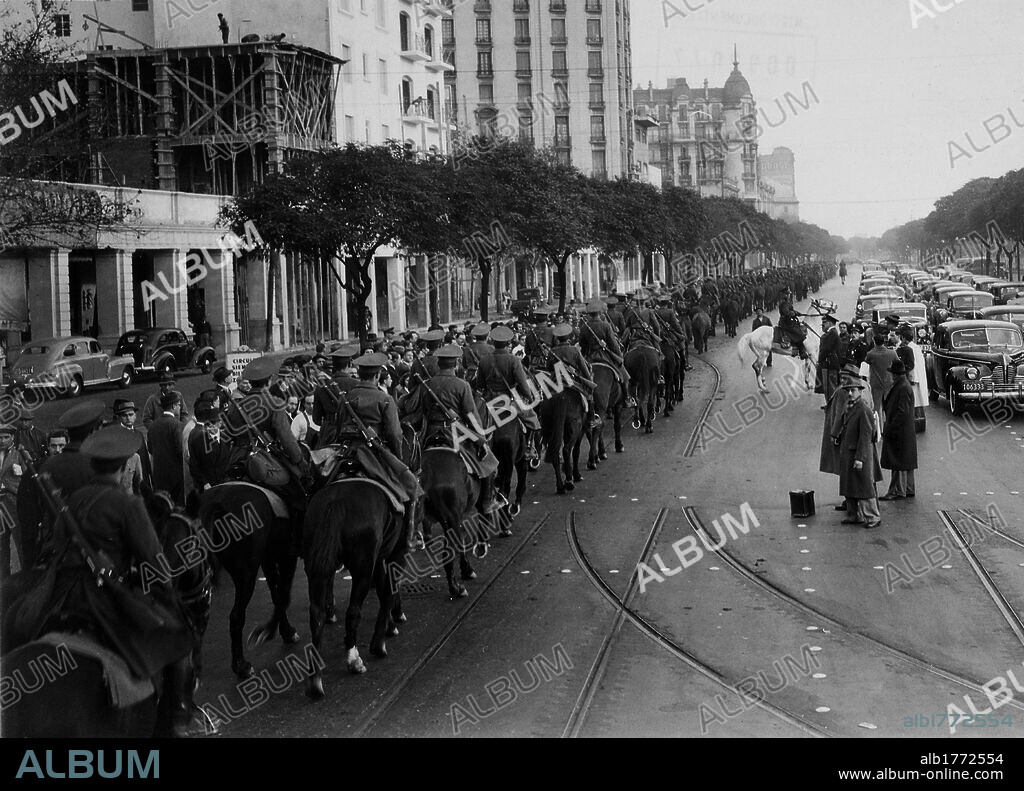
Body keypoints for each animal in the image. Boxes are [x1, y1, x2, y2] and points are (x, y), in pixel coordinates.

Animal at [195, 485, 299, 676]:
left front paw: (284, 630)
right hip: (247, 574)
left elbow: (276, 593)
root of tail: (217, 504)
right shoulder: (287, 554)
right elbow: (283, 594)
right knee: (236, 616)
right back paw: (241, 665)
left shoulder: (268, 557)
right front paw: (270, 632)